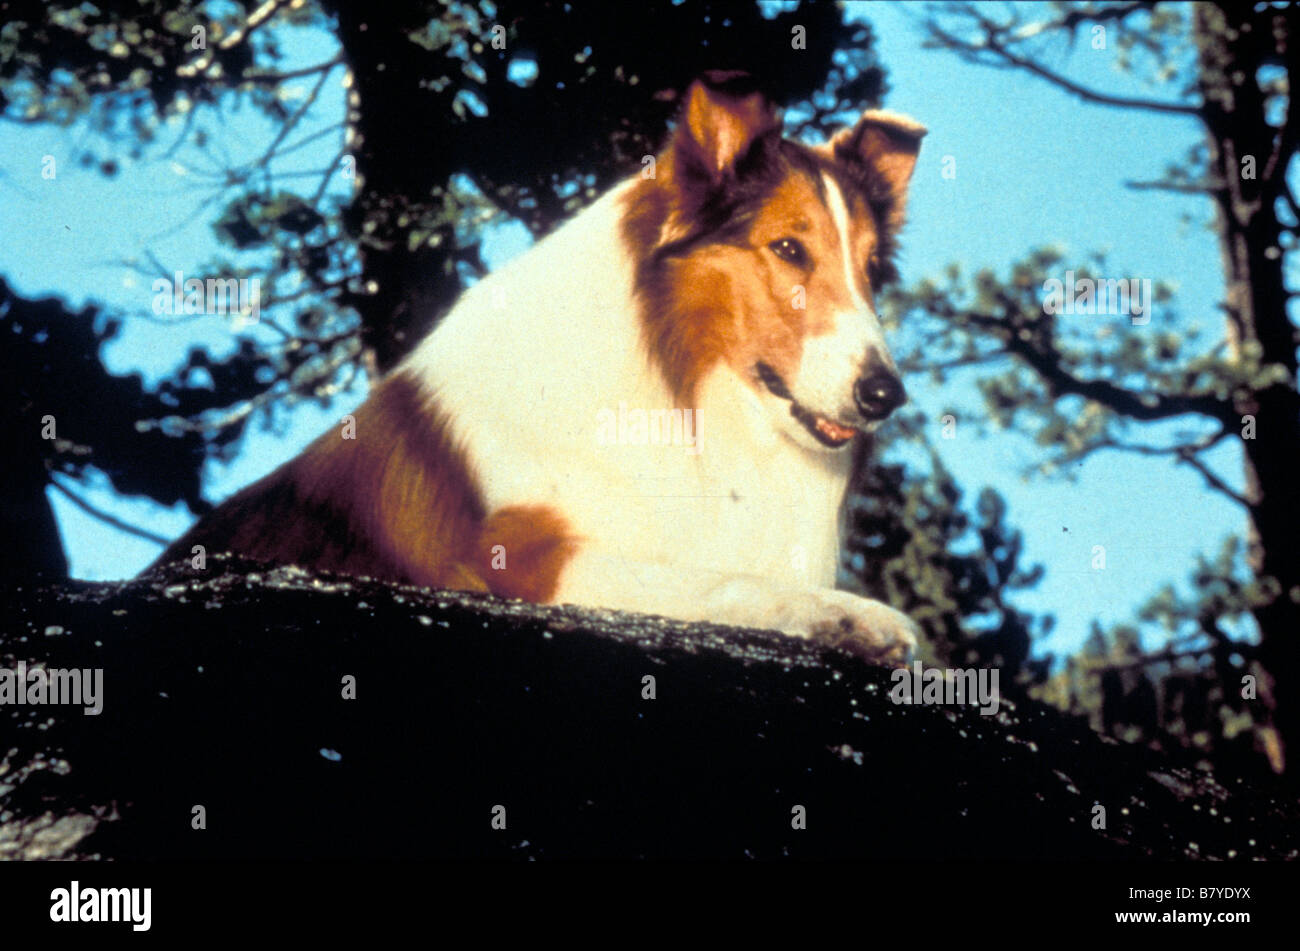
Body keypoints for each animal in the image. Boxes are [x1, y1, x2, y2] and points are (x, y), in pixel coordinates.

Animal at [154, 74, 925, 665]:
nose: (885, 394)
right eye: (789, 248)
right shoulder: (519, 557)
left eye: (872, 270)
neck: (682, 392)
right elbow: (720, 582)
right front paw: (851, 614)